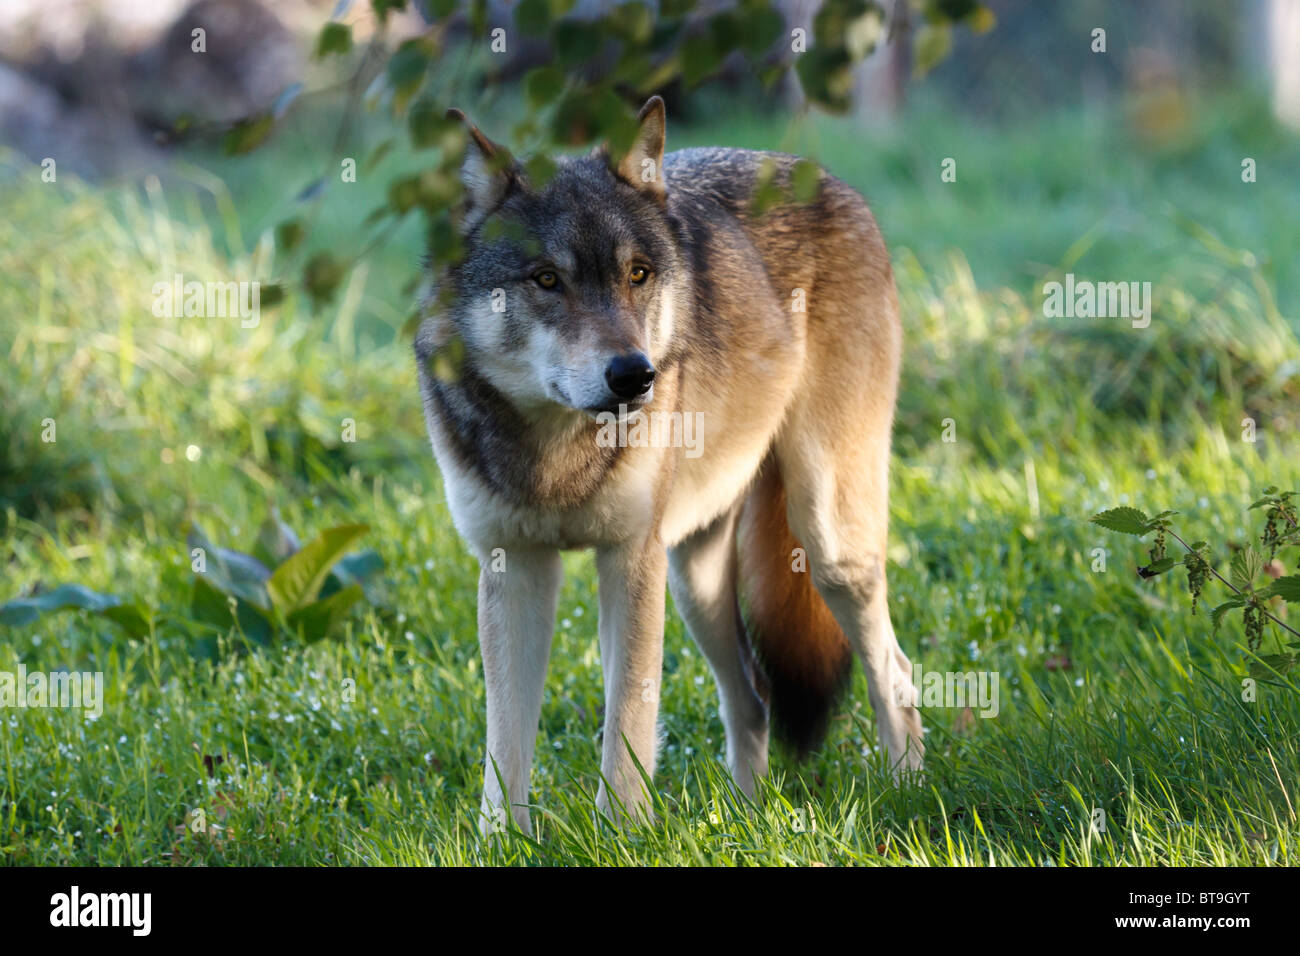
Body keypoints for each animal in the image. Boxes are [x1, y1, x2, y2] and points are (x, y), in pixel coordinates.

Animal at [416, 93, 925, 832]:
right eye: (547, 280)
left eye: (638, 274)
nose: (635, 375)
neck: (557, 453)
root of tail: (820, 174)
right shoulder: (515, 570)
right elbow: (506, 742)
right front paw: (504, 841)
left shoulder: (630, 559)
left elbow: (628, 718)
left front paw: (622, 834)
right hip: (694, 580)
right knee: (753, 699)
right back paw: (745, 818)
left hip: (826, 545)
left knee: (896, 671)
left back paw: (905, 791)